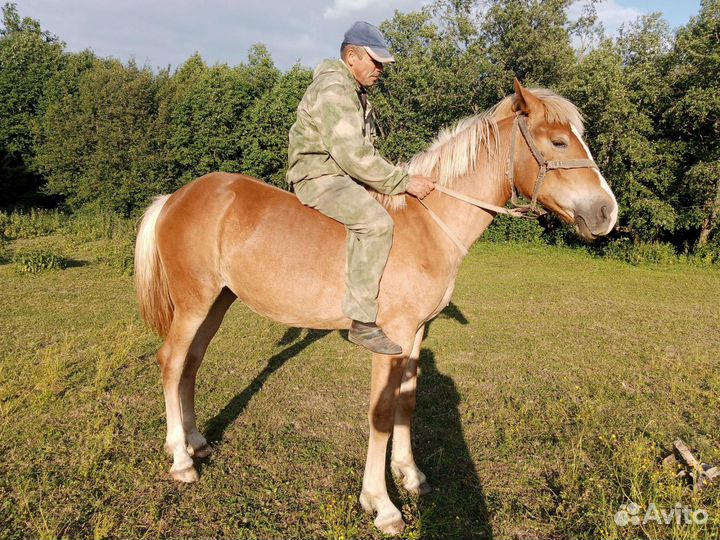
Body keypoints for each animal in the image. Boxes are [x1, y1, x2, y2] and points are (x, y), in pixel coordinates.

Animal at [133, 80, 617, 536]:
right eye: (559, 142)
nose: (606, 213)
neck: (426, 223)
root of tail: (175, 198)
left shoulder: (415, 335)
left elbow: (407, 403)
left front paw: (411, 475)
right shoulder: (392, 338)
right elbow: (381, 414)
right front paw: (381, 503)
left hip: (215, 302)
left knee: (191, 364)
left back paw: (196, 441)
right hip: (194, 303)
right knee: (171, 362)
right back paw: (181, 460)